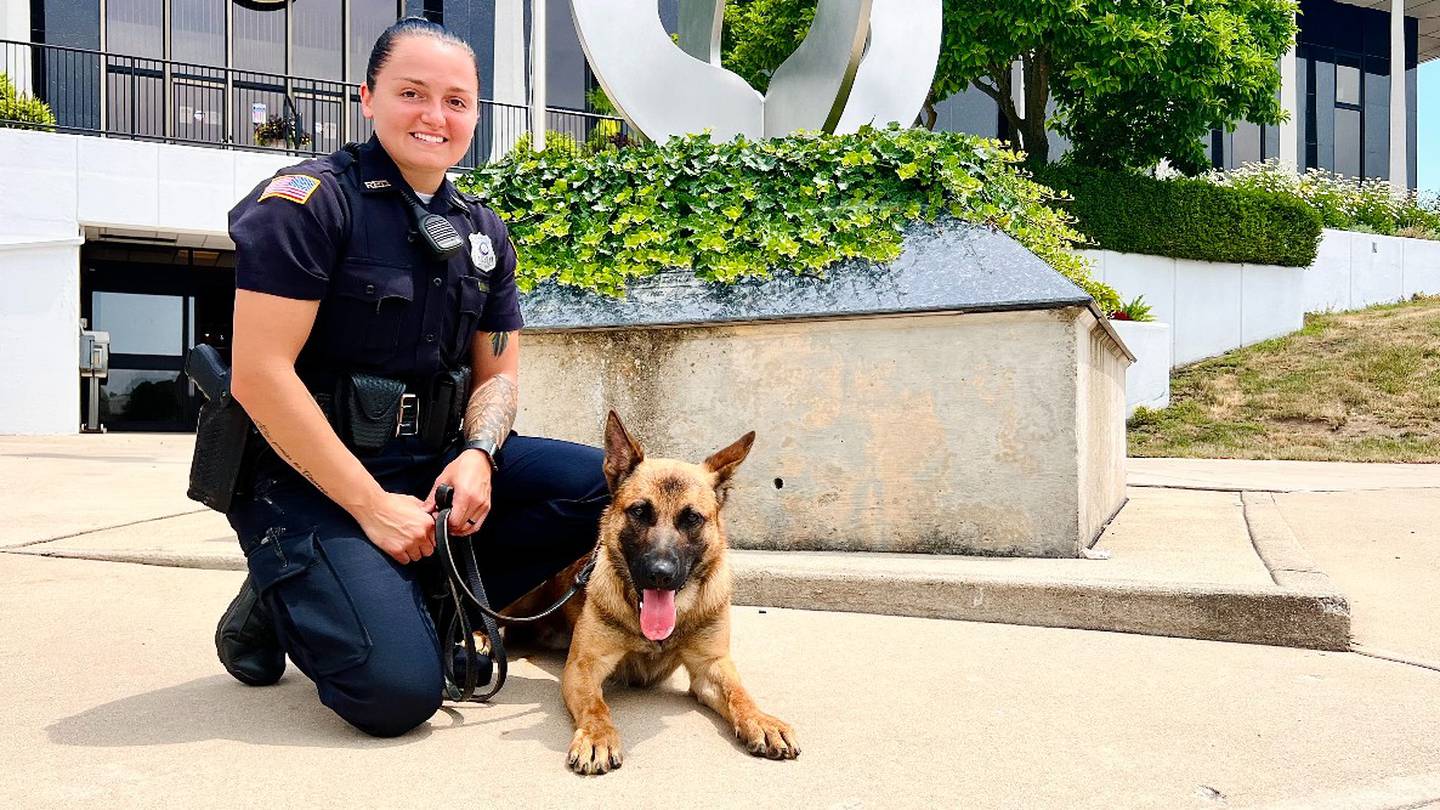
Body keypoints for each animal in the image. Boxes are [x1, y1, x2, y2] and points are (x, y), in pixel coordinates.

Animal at [518, 412, 800, 772]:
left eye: (692, 518)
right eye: (639, 512)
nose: (660, 575)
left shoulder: (711, 667)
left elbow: (740, 694)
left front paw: (761, 720)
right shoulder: (584, 667)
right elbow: (597, 706)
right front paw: (597, 736)